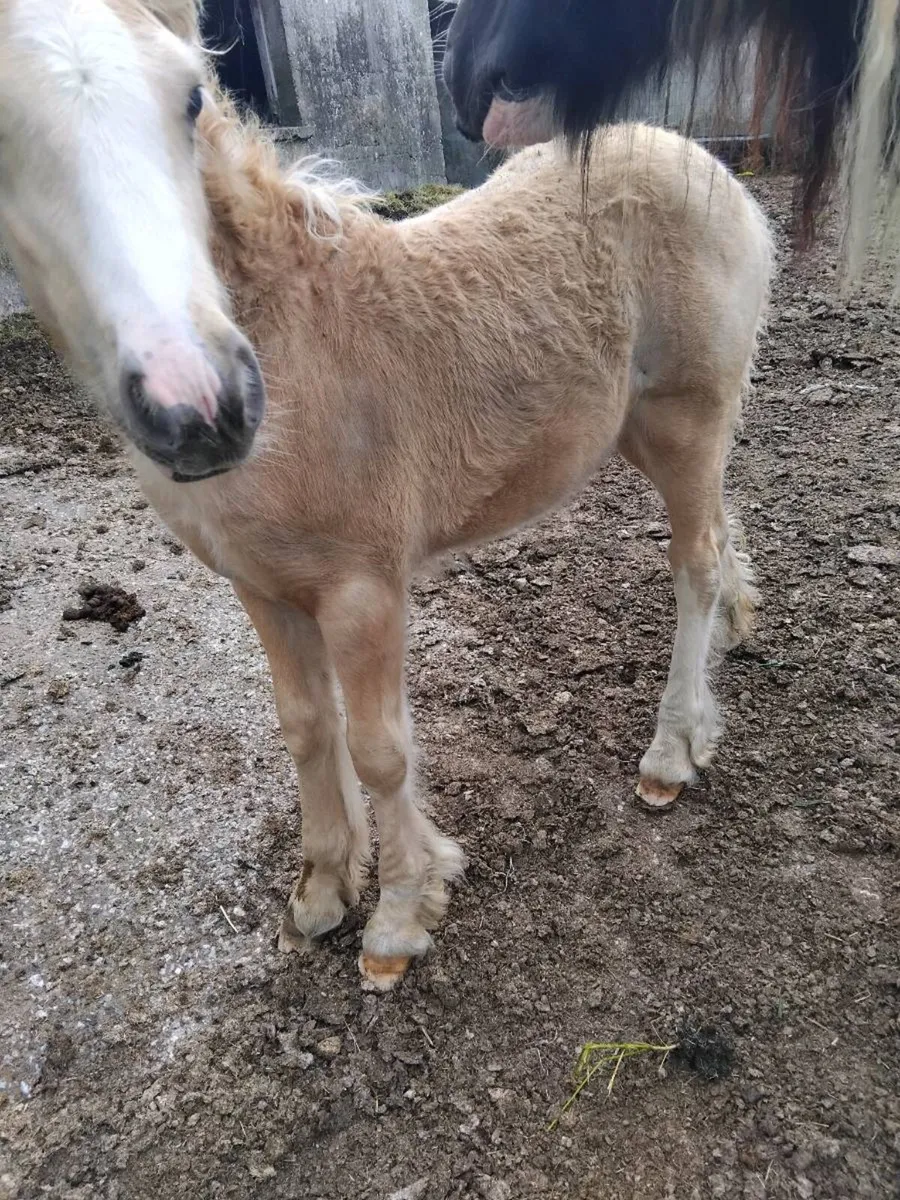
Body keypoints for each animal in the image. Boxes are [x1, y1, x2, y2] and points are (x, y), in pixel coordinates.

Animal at [0, 0, 771, 990]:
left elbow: (379, 750)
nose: (199, 405)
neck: (292, 342)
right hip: (648, 432)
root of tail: (706, 164)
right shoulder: (260, 587)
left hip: (687, 420)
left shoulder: (362, 588)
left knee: (695, 564)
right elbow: (303, 727)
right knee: (721, 532)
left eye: (191, 96)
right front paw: (322, 891)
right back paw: (731, 646)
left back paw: (673, 750)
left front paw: (399, 918)